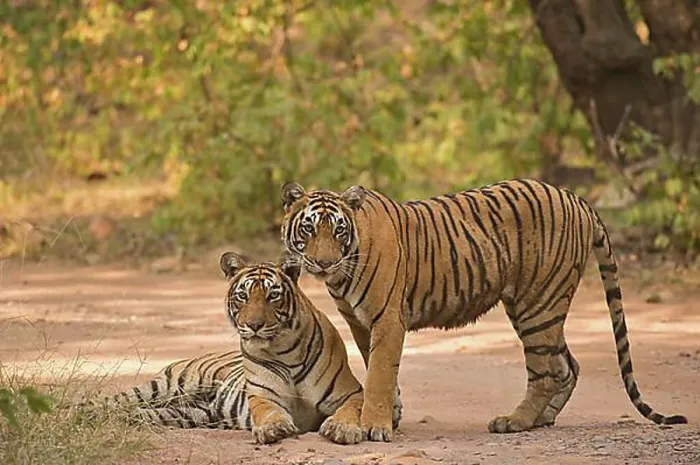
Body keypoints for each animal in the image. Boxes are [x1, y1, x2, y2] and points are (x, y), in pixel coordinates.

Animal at [87, 252, 365, 445]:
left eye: (272, 295)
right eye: (243, 296)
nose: (254, 325)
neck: (285, 351)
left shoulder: (349, 392)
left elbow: (351, 409)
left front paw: (342, 429)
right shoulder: (263, 396)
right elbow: (269, 411)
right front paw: (274, 428)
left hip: (189, 413)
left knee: (138, 412)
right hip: (163, 387)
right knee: (115, 401)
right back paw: (81, 412)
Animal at [279, 178, 688, 442]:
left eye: (338, 231)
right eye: (309, 229)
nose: (323, 263)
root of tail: (576, 197)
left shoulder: (387, 319)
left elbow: (380, 373)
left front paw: (373, 426)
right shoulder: (361, 323)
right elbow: (378, 369)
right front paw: (389, 417)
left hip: (537, 303)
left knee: (546, 372)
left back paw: (516, 421)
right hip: (539, 307)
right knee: (567, 365)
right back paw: (543, 418)